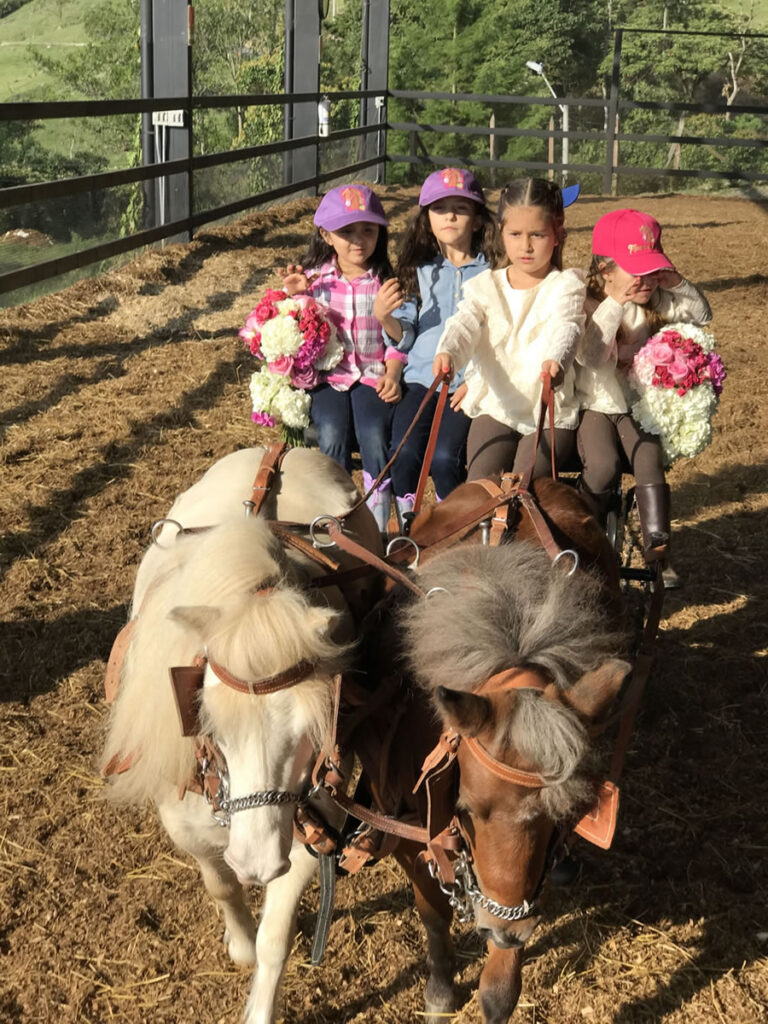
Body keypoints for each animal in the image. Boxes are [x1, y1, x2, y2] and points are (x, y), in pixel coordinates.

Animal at [99, 448, 382, 1024]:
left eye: (312, 732)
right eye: (209, 722)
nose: (257, 862)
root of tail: (280, 449)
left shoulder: (309, 827)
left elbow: (277, 938)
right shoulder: (185, 823)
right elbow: (221, 885)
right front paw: (240, 944)